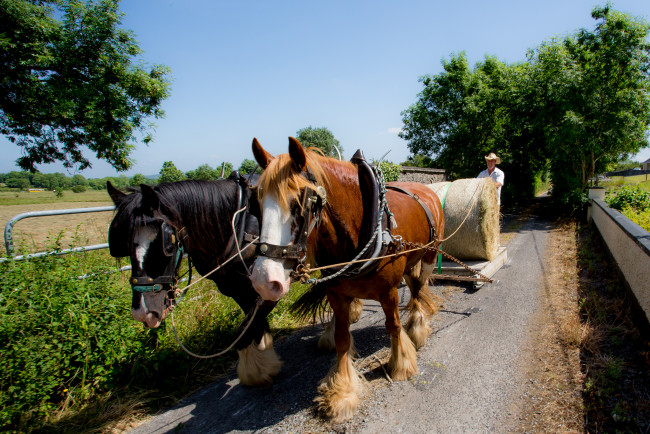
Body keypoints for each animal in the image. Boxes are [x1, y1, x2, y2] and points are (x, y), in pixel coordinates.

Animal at [106, 171, 280, 384]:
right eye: (124, 245)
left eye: (166, 244)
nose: (142, 313)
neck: (240, 223)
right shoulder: (236, 289)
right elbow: (253, 325)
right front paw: (264, 361)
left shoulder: (269, 288)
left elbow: (243, 331)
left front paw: (256, 371)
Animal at [251, 138, 442, 420]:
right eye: (258, 203)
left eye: (299, 203)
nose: (264, 280)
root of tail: (424, 189)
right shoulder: (337, 294)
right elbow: (342, 338)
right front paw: (342, 390)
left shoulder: (388, 292)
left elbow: (393, 326)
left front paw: (400, 363)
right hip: (411, 257)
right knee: (414, 283)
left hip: (430, 254)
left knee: (418, 288)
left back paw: (417, 326)